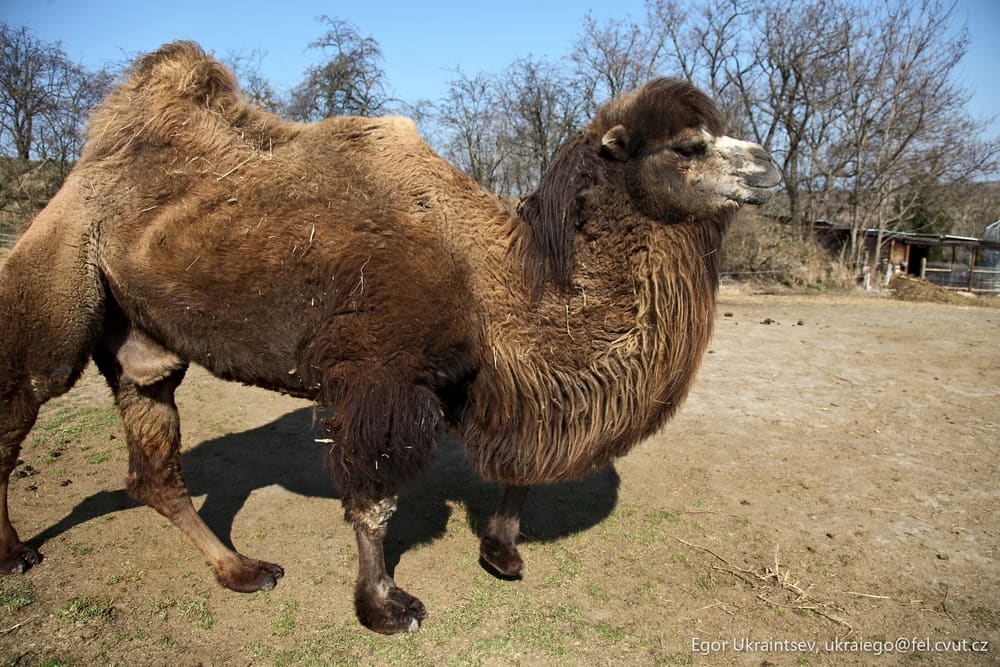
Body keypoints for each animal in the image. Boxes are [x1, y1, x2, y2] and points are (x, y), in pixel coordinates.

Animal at [0, 42, 780, 633]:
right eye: (689, 146)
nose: (768, 163)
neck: (491, 277)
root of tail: (91, 158)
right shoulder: (381, 376)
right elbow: (374, 501)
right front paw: (383, 607)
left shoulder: (482, 378)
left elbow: (517, 466)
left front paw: (500, 551)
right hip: (61, 279)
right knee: (22, 405)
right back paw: (15, 553)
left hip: (142, 341)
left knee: (152, 465)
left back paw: (241, 569)